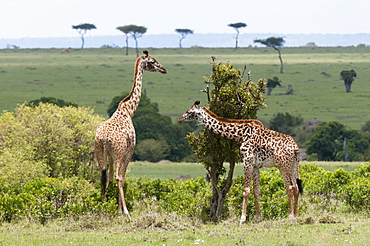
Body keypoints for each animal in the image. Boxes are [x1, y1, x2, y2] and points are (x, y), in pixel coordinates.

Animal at [94, 51, 167, 218]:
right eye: (152, 62)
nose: (163, 69)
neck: (128, 110)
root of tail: (104, 138)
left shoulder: (111, 156)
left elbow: (109, 177)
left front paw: (111, 207)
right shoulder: (130, 150)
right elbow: (122, 177)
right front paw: (121, 210)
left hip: (100, 153)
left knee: (103, 176)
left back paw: (101, 206)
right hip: (119, 153)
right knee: (118, 177)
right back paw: (126, 211)